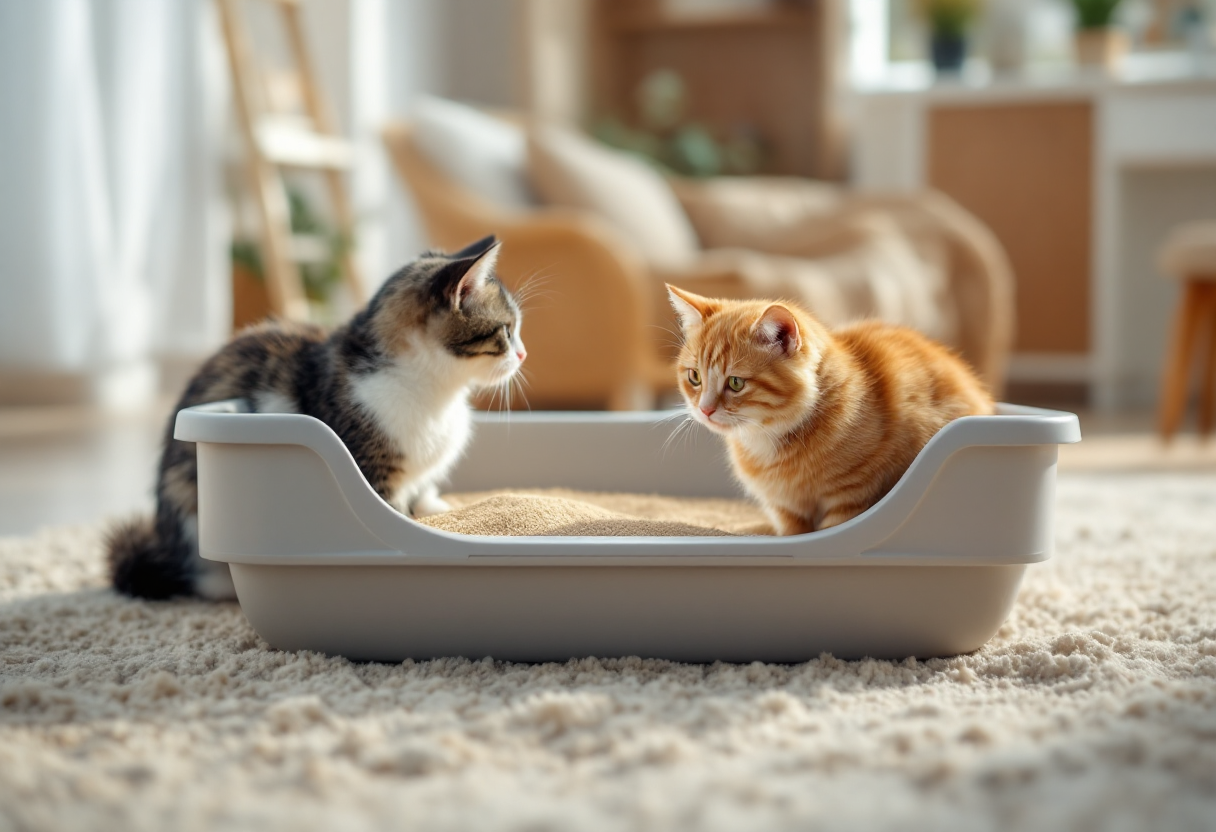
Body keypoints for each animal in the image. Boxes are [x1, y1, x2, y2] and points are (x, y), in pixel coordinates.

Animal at [105, 233, 522, 598]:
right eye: (505, 330)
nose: (523, 354)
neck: (435, 392)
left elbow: (424, 492)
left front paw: (436, 510)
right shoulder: (375, 470)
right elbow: (391, 516)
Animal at [666, 284, 997, 532]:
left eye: (735, 383)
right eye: (694, 377)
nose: (704, 409)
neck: (769, 439)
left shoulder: (852, 495)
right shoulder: (785, 509)